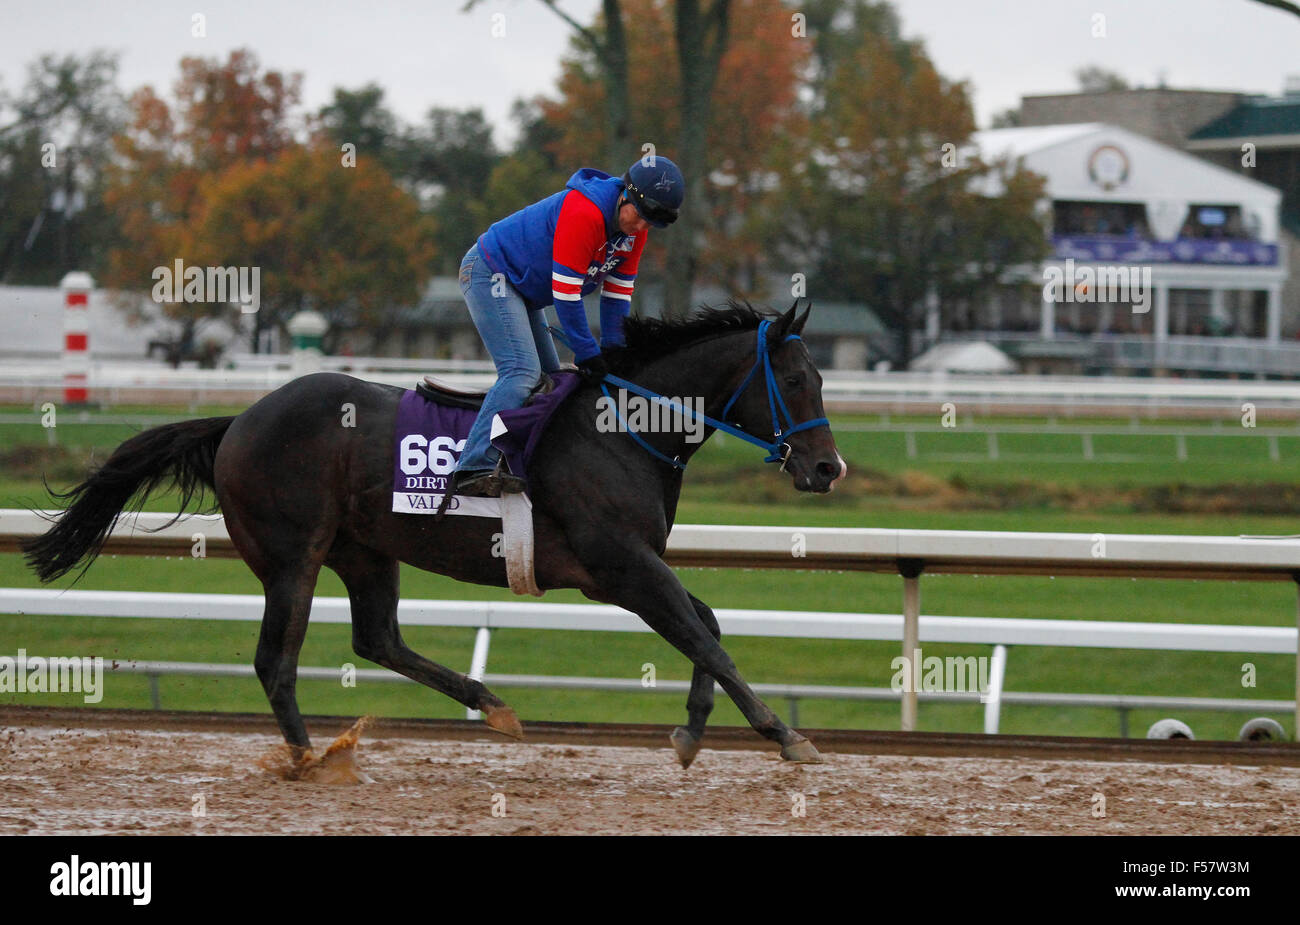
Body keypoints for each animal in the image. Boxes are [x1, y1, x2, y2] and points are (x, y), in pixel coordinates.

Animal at [27, 300, 852, 769]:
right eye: (797, 380)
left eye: (822, 378)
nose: (827, 467)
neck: (622, 426)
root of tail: (238, 420)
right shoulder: (617, 564)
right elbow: (706, 636)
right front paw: (785, 734)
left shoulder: (631, 566)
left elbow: (705, 625)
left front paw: (691, 730)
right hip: (293, 555)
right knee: (275, 660)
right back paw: (305, 754)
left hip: (365, 551)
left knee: (378, 638)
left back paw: (491, 705)